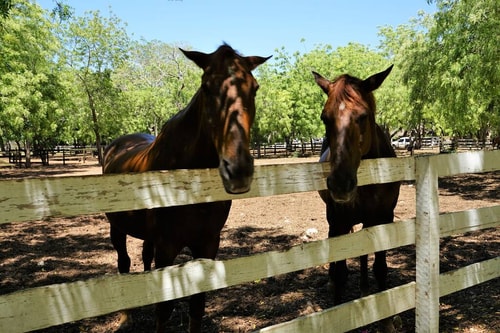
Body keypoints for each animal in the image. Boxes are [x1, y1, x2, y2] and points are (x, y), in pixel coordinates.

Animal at [102, 44, 270, 332]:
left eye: (255, 88)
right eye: (206, 87)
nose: (238, 170)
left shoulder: (208, 244)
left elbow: (197, 304)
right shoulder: (167, 246)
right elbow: (164, 308)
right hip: (118, 229)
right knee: (124, 263)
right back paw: (125, 319)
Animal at [314, 65, 400, 332]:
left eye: (362, 116)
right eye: (325, 118)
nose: (341, 184)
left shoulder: (384, 218)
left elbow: (380, 269)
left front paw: (387, 322)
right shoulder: (338, 219)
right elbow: (341, 271)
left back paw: (363, 290)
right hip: (336, 221)